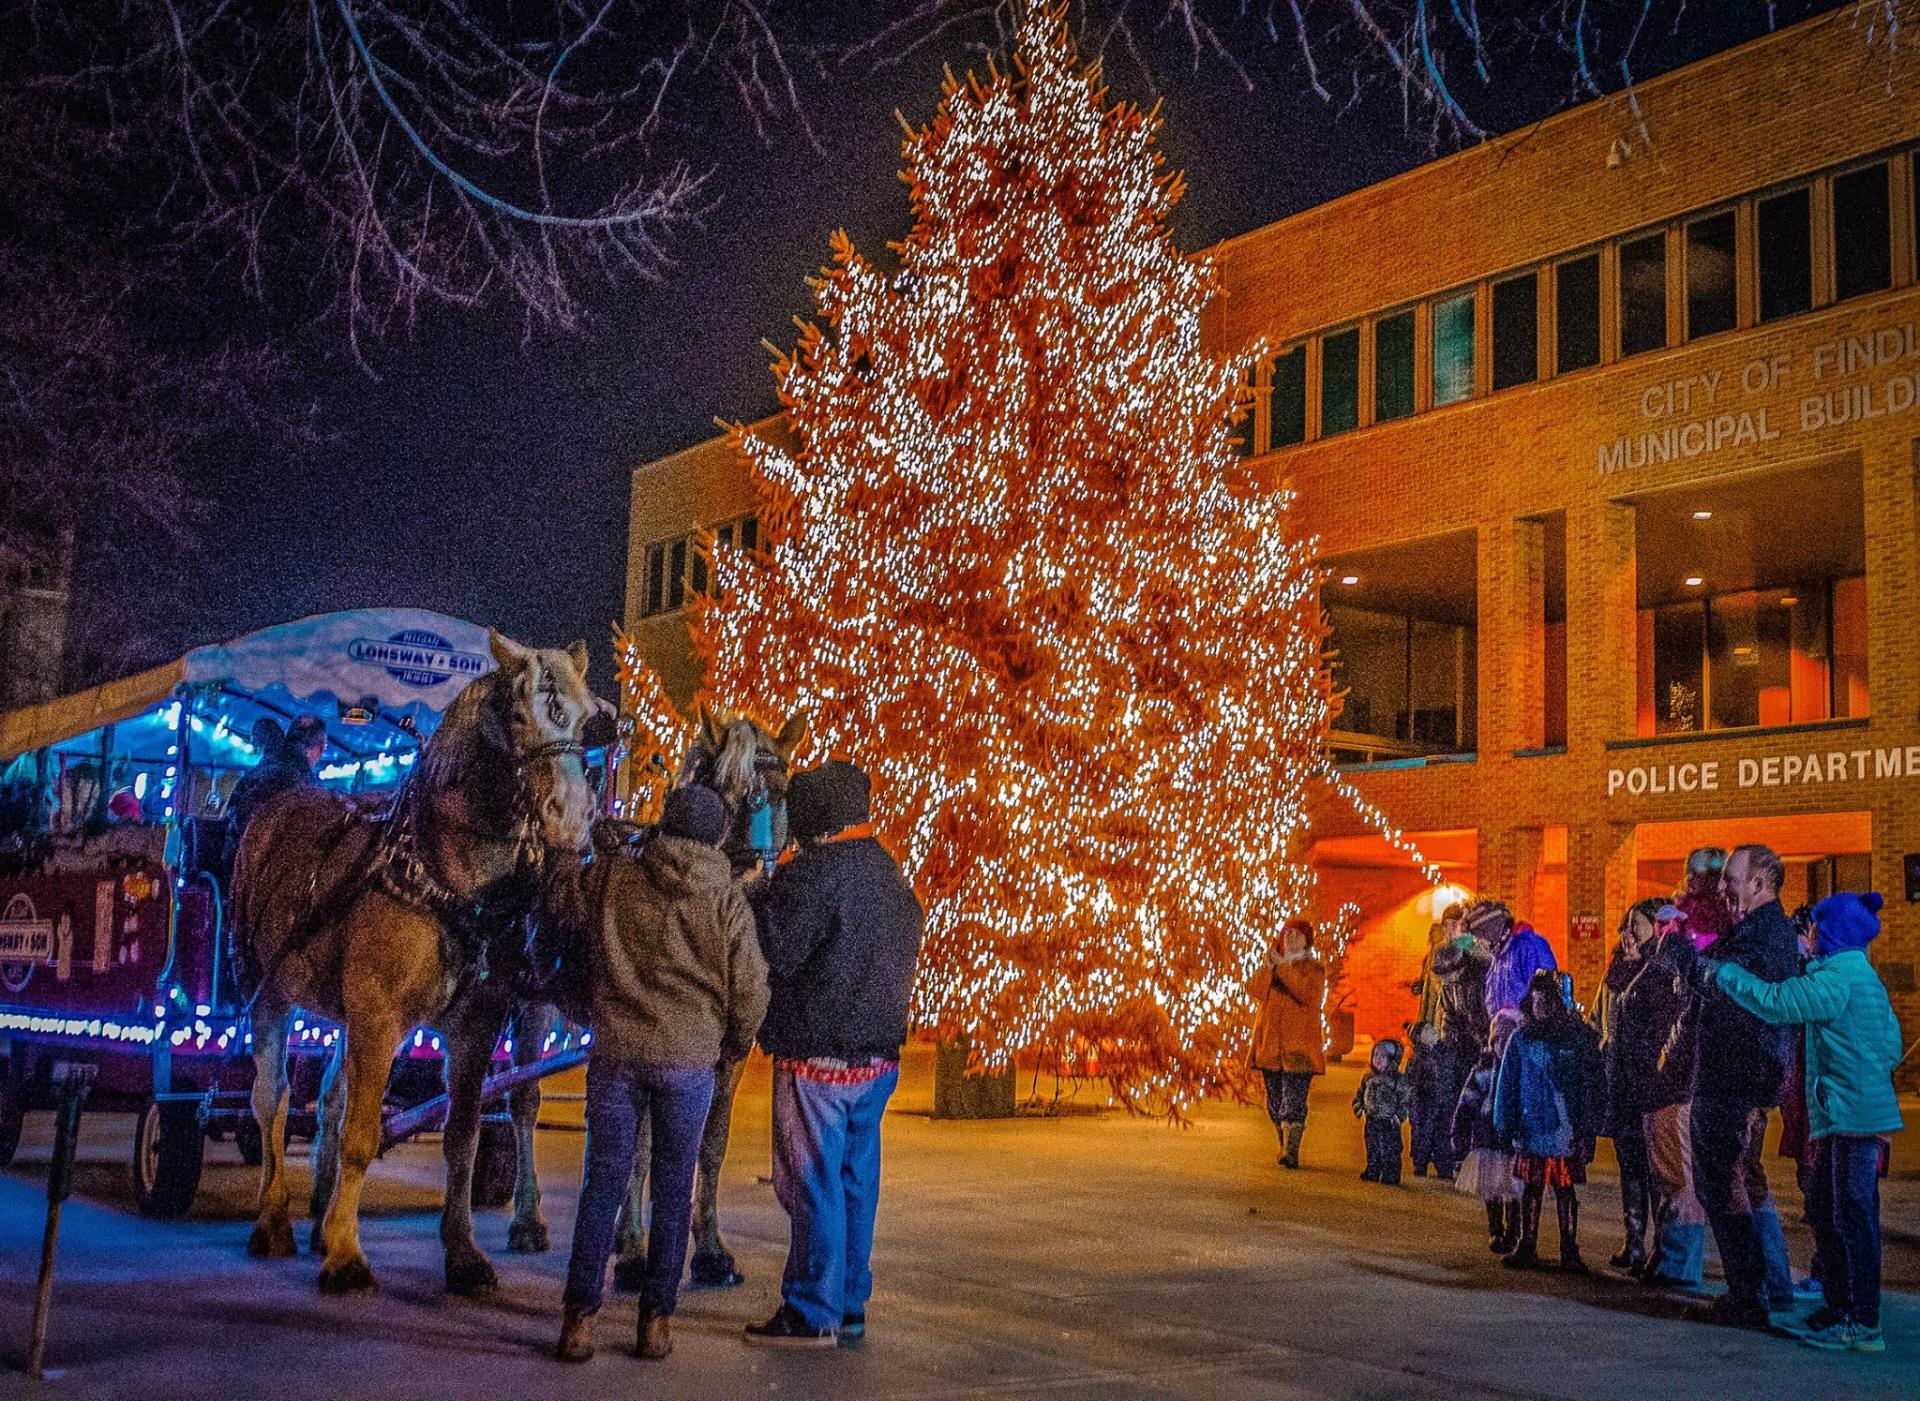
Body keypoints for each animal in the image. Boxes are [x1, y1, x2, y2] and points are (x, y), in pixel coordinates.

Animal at [238, 633, 599, 1289]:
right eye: (517, 714)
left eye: (586, 721)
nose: (571, 814)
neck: (443, 878)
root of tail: (276, 808)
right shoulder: (379, 1016)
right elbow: (361, 1133)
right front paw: (346, 1253)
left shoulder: (476, 1025)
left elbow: (462, 1136)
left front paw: (462, 1251)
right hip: (270, 991)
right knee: (271, 1099)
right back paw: (273, 1219)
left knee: (326, 1097)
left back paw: (317, 1209)